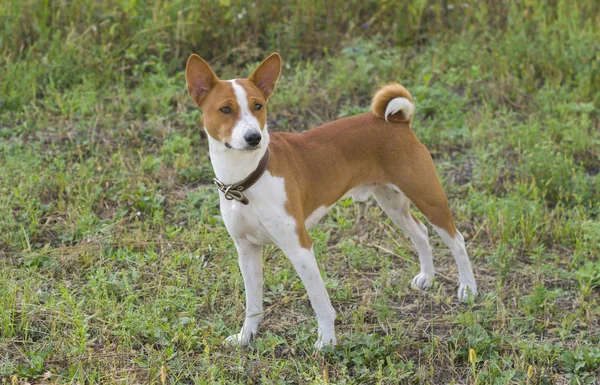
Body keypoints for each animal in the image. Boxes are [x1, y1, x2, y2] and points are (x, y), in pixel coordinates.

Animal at [185, 51, 476, 348]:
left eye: (258, 106)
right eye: (225, 109)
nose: (253, 137)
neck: (247, 179)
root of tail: (398, 122)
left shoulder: (299, 247)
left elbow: (319, 301)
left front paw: (326, 341)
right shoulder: (246, 250)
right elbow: (252, 303)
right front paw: (246, 337)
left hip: (428, 197)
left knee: (457, 240)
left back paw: (468, 289)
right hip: (392, 204)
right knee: (421, 233)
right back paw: (427, 277)